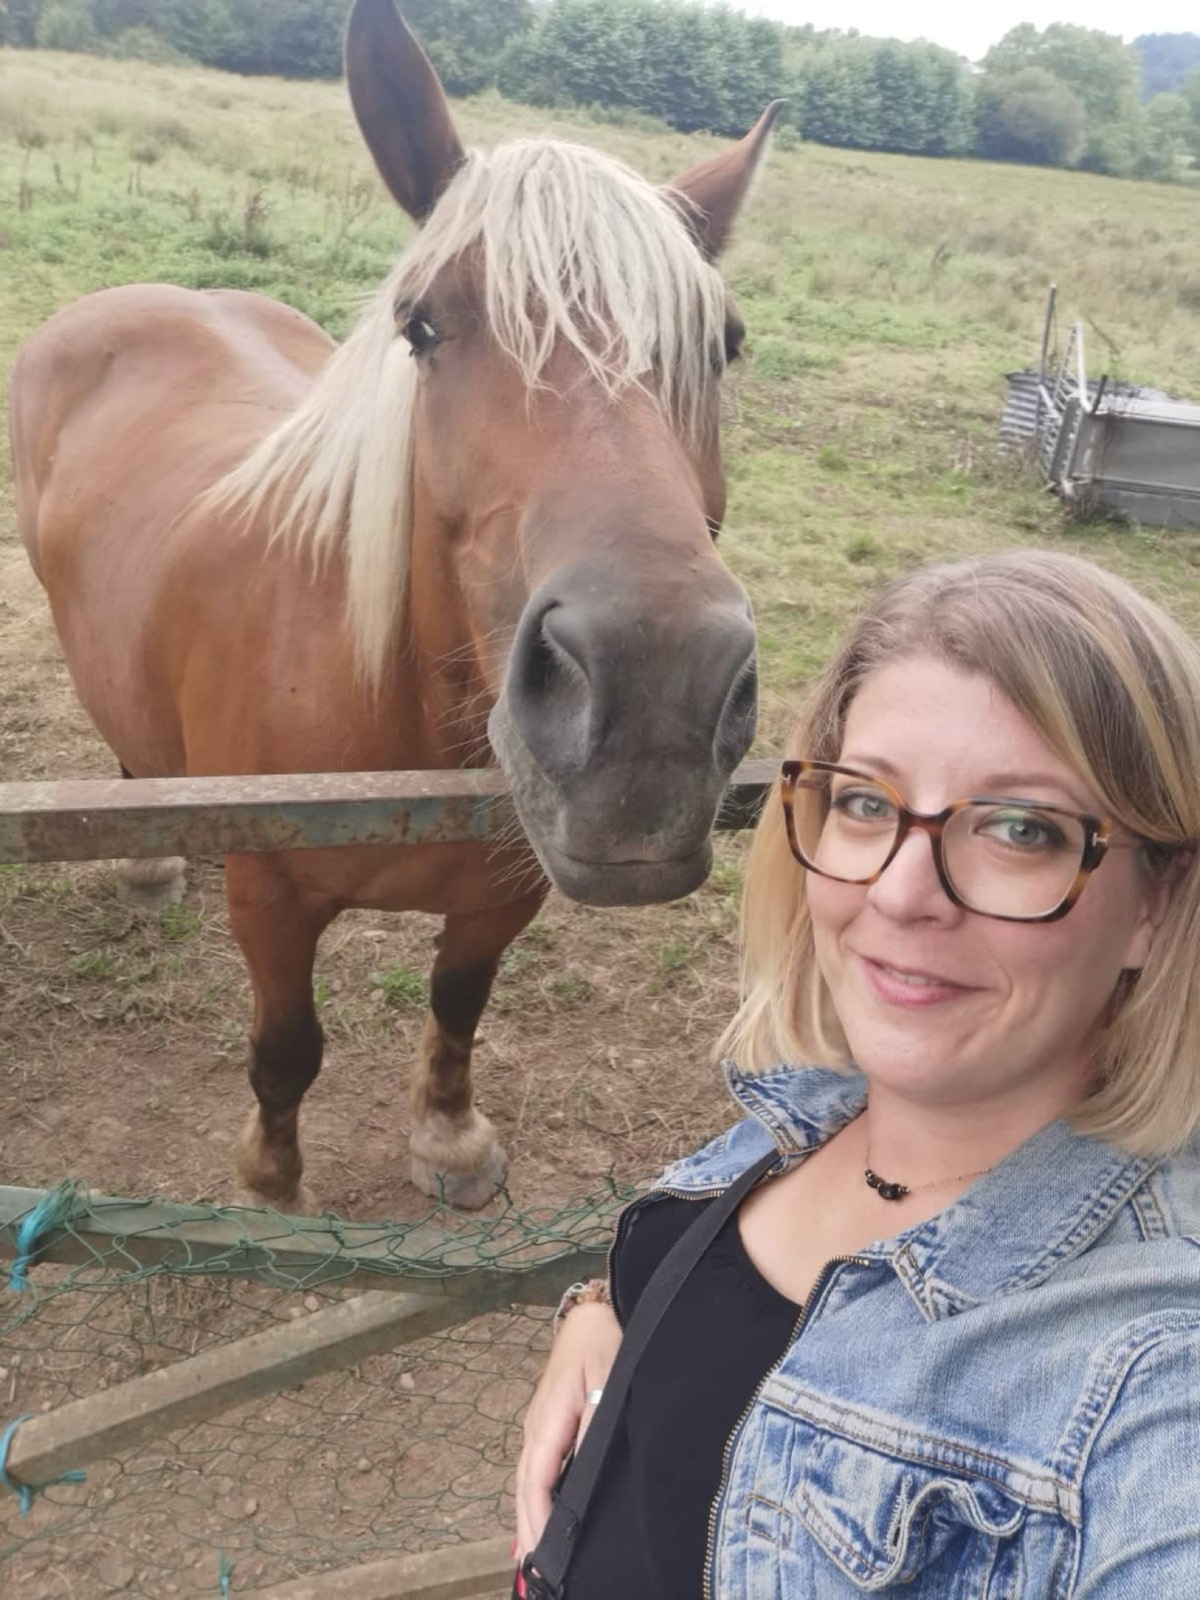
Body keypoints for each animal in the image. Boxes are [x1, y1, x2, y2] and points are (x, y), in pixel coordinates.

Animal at [8, 0, 778, 1211]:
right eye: (423, 325)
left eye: (725, 342)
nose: (656, 693)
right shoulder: (270, 898)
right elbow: (287, 1050)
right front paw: (272, 1186)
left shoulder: (507, 883)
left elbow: (459, 1002)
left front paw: (449, 1137)